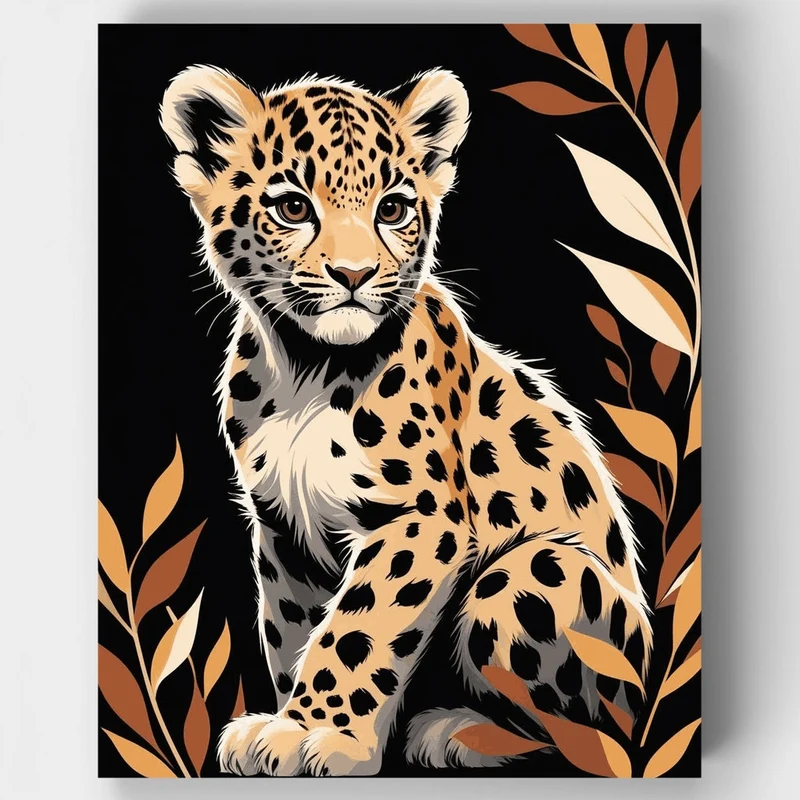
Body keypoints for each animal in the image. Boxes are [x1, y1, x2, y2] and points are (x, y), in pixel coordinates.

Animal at [160, 64, 653, 777]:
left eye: (391, 209)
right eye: (292, 208)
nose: (354, 274)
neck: (305, 369)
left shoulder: (421, 518)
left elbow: (355, 631)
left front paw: (317, 734)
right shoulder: (282, 525)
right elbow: (294, 628)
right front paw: (284, 723)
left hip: (531, 574)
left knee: (587, 733)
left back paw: (460, 731)